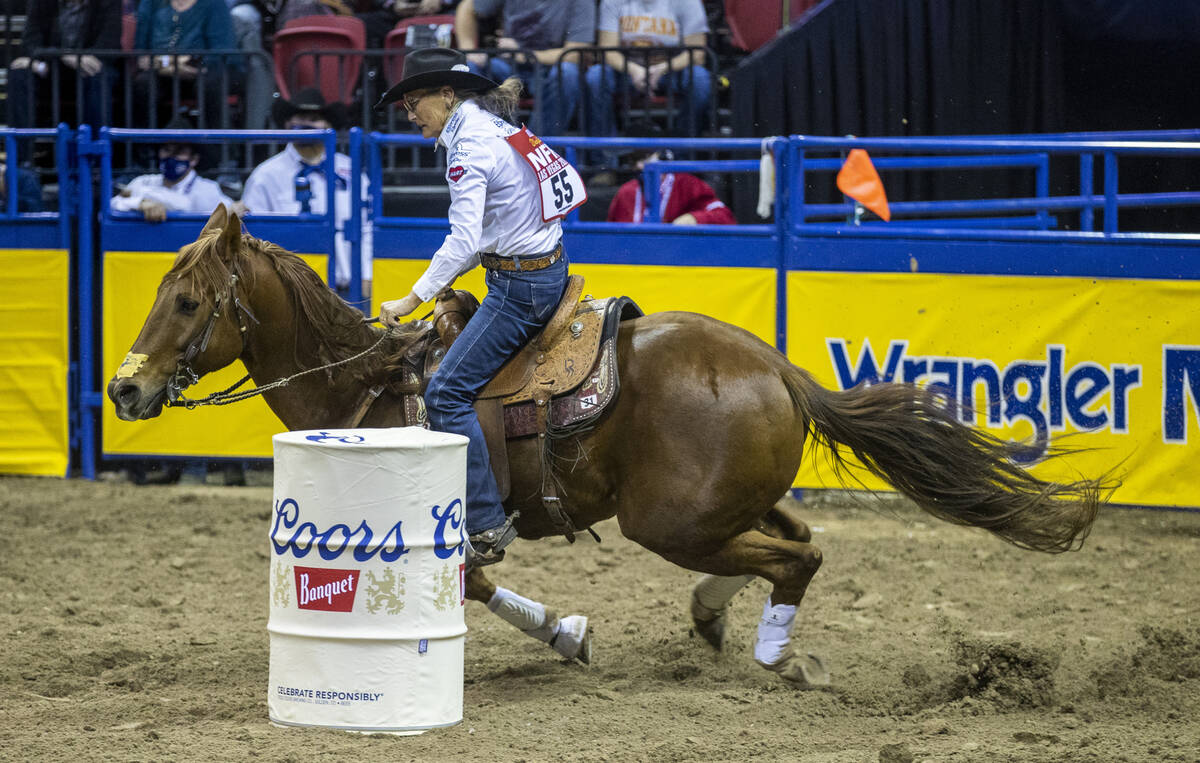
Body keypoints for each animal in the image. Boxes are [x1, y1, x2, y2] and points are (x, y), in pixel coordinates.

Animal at [108, 207, 1108, 686]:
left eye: (187, 300)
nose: (124, 388)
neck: (370, 383)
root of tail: (780, 369)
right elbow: (482, 589)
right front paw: (570, 633)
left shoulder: (441, 526)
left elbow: (475, 583)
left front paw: (571, 633)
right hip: (721, 506)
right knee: (791, 541)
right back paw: (714, 617)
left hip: (668, 519)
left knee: (799, 555)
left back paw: (772, 656)